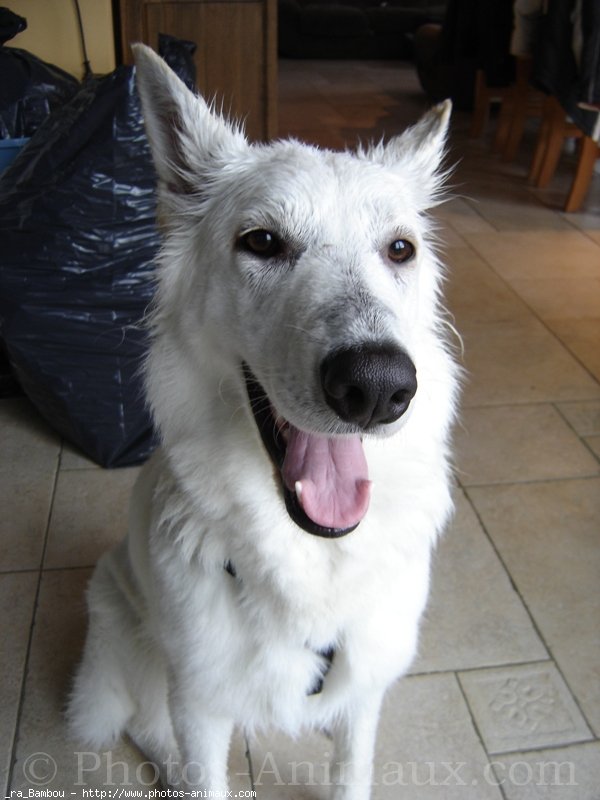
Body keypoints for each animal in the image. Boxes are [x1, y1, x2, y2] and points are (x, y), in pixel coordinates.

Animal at [67, 45, 460, 800]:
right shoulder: (199, 700)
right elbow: (200, 766)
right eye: (263, 242)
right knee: (147, 725)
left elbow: (352, 769)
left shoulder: (364, 691)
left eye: (399, 249)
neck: (310, 561)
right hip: (133, 632)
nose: (377, 386)